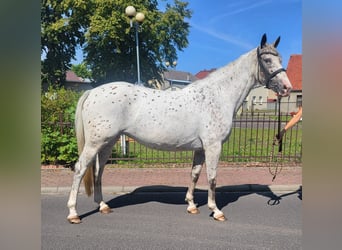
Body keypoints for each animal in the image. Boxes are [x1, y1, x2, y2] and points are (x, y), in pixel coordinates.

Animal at [68, 34, 292, 224]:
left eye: (280, 59)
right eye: (267, 60)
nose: (287, 88)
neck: (218, 94)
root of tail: (93, 92)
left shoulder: (200, 148)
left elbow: (194, 174)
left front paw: (192, 205)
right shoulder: (213, 146)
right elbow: (212, 178)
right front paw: (216, 210)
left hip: (108, 142)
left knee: (98, 171)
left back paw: (103, 206)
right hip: (95, 143)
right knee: (80, 169)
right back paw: (73, 213)